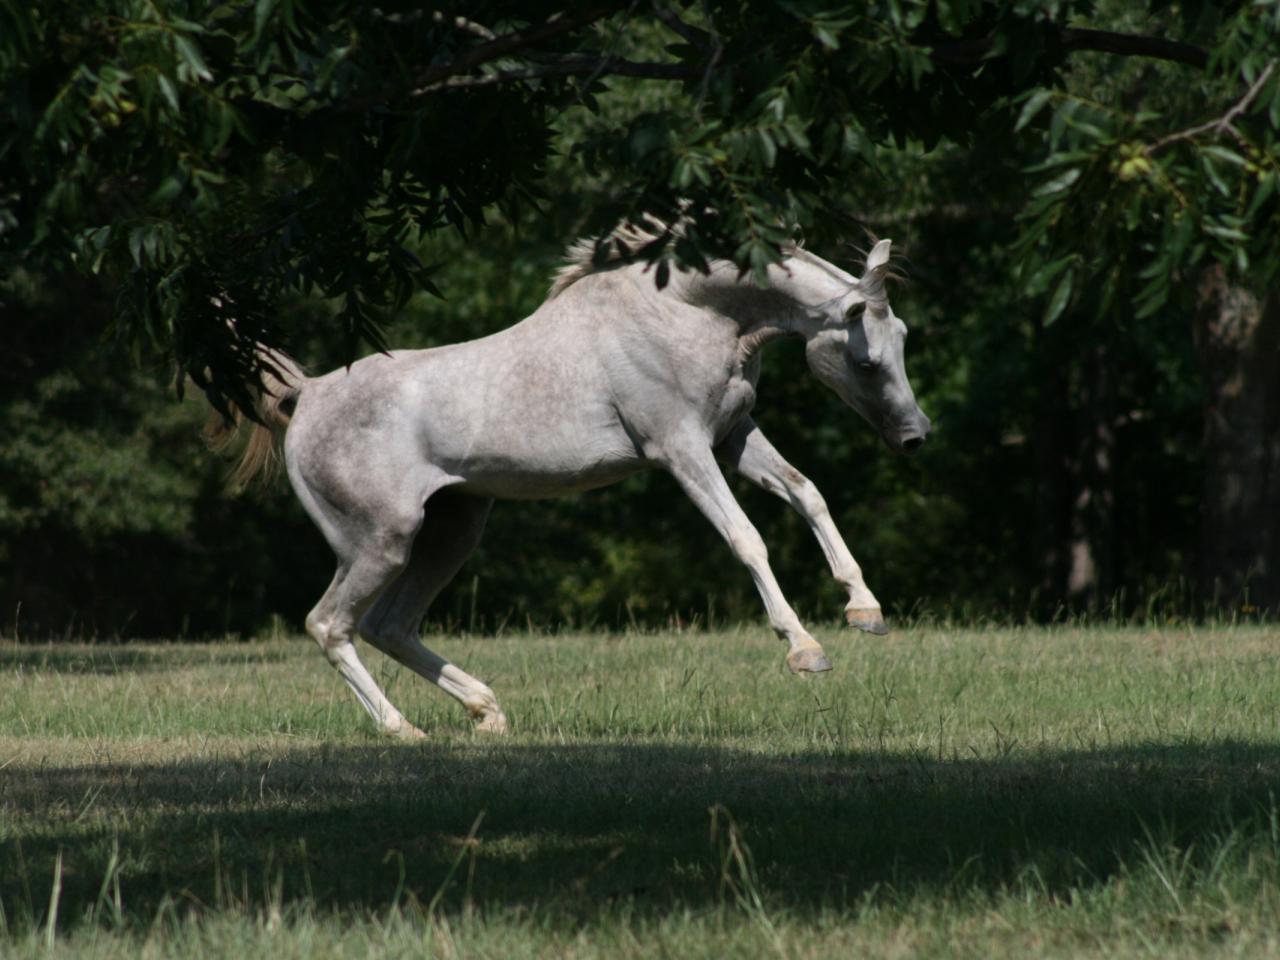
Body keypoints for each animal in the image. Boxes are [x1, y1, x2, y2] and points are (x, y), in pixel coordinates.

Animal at [212, 231, 931, 737]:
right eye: (867, 359)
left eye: (901, 335)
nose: (916, 436)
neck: (686, 313)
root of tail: (307, 394)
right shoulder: (681, 449)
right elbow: (746, 539)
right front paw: (805, 649)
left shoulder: (732, 435)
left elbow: (808, 493)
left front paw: (865, 610)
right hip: (380, 543)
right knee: (331, 624)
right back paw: (402, 729)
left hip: (452, 533)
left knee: (389, 626)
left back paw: (487, 711)